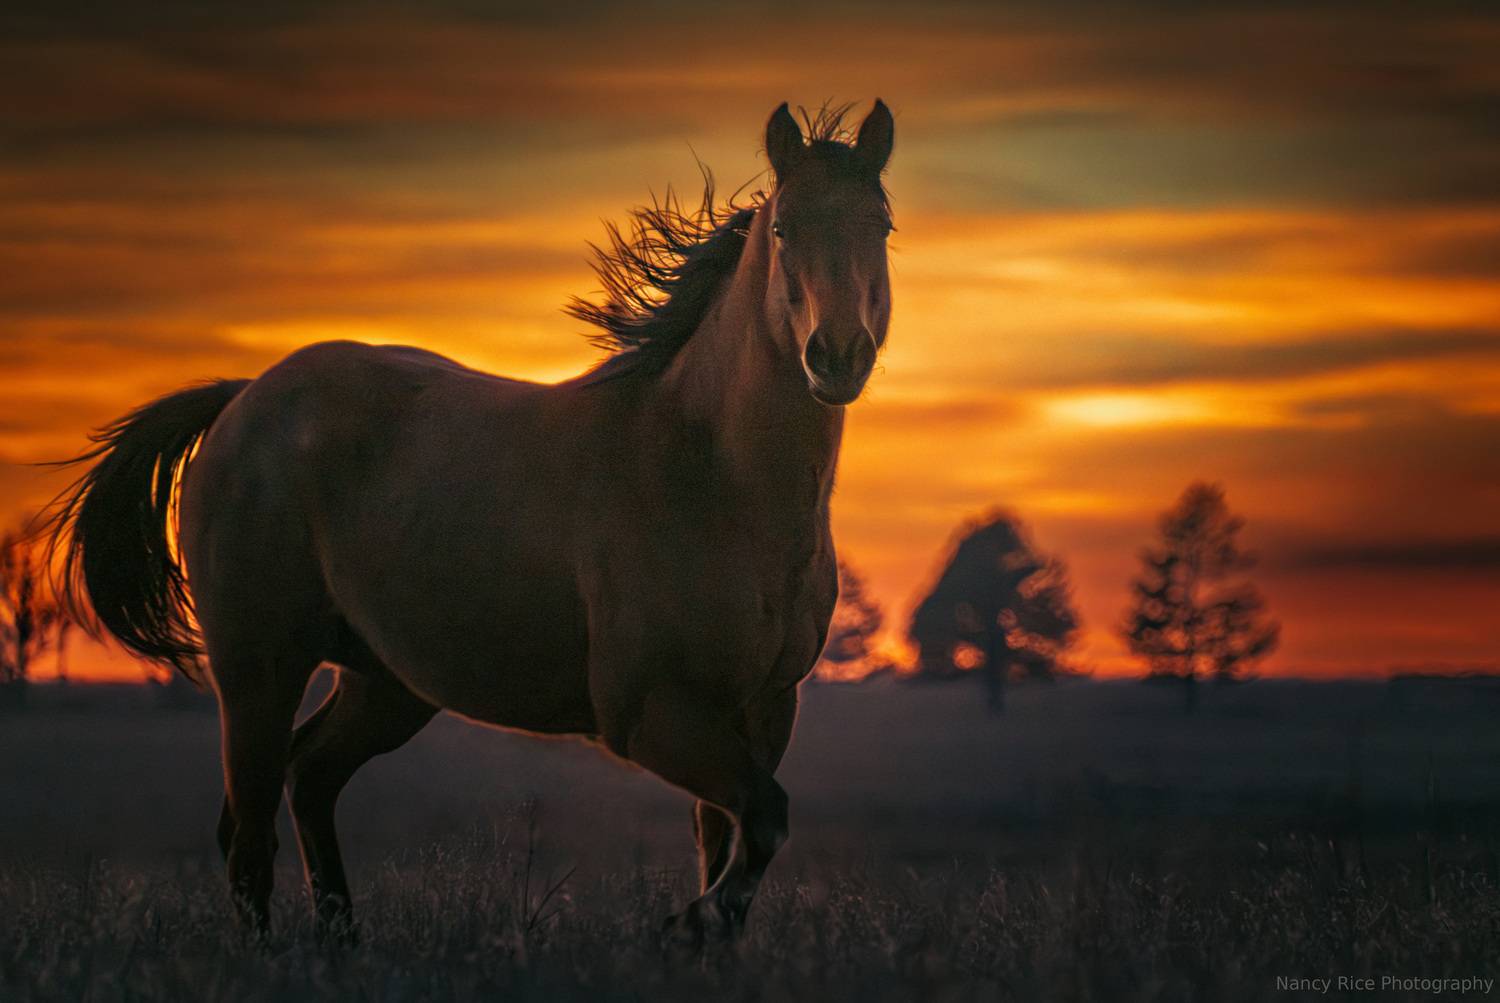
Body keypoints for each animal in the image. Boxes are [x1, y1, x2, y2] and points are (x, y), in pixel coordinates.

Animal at [45, 99, 895, 945]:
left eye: (881, 223)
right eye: (783, 227)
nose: (836, 355)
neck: (708, 476)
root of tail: (243, 398)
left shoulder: (765, 706)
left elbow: (727, 838)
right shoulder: (651, 712)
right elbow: (762, 823)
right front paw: (681, 924)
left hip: (385, 681)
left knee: (308, 777)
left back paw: (342, 943)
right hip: (257, 666)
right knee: (250, 831)